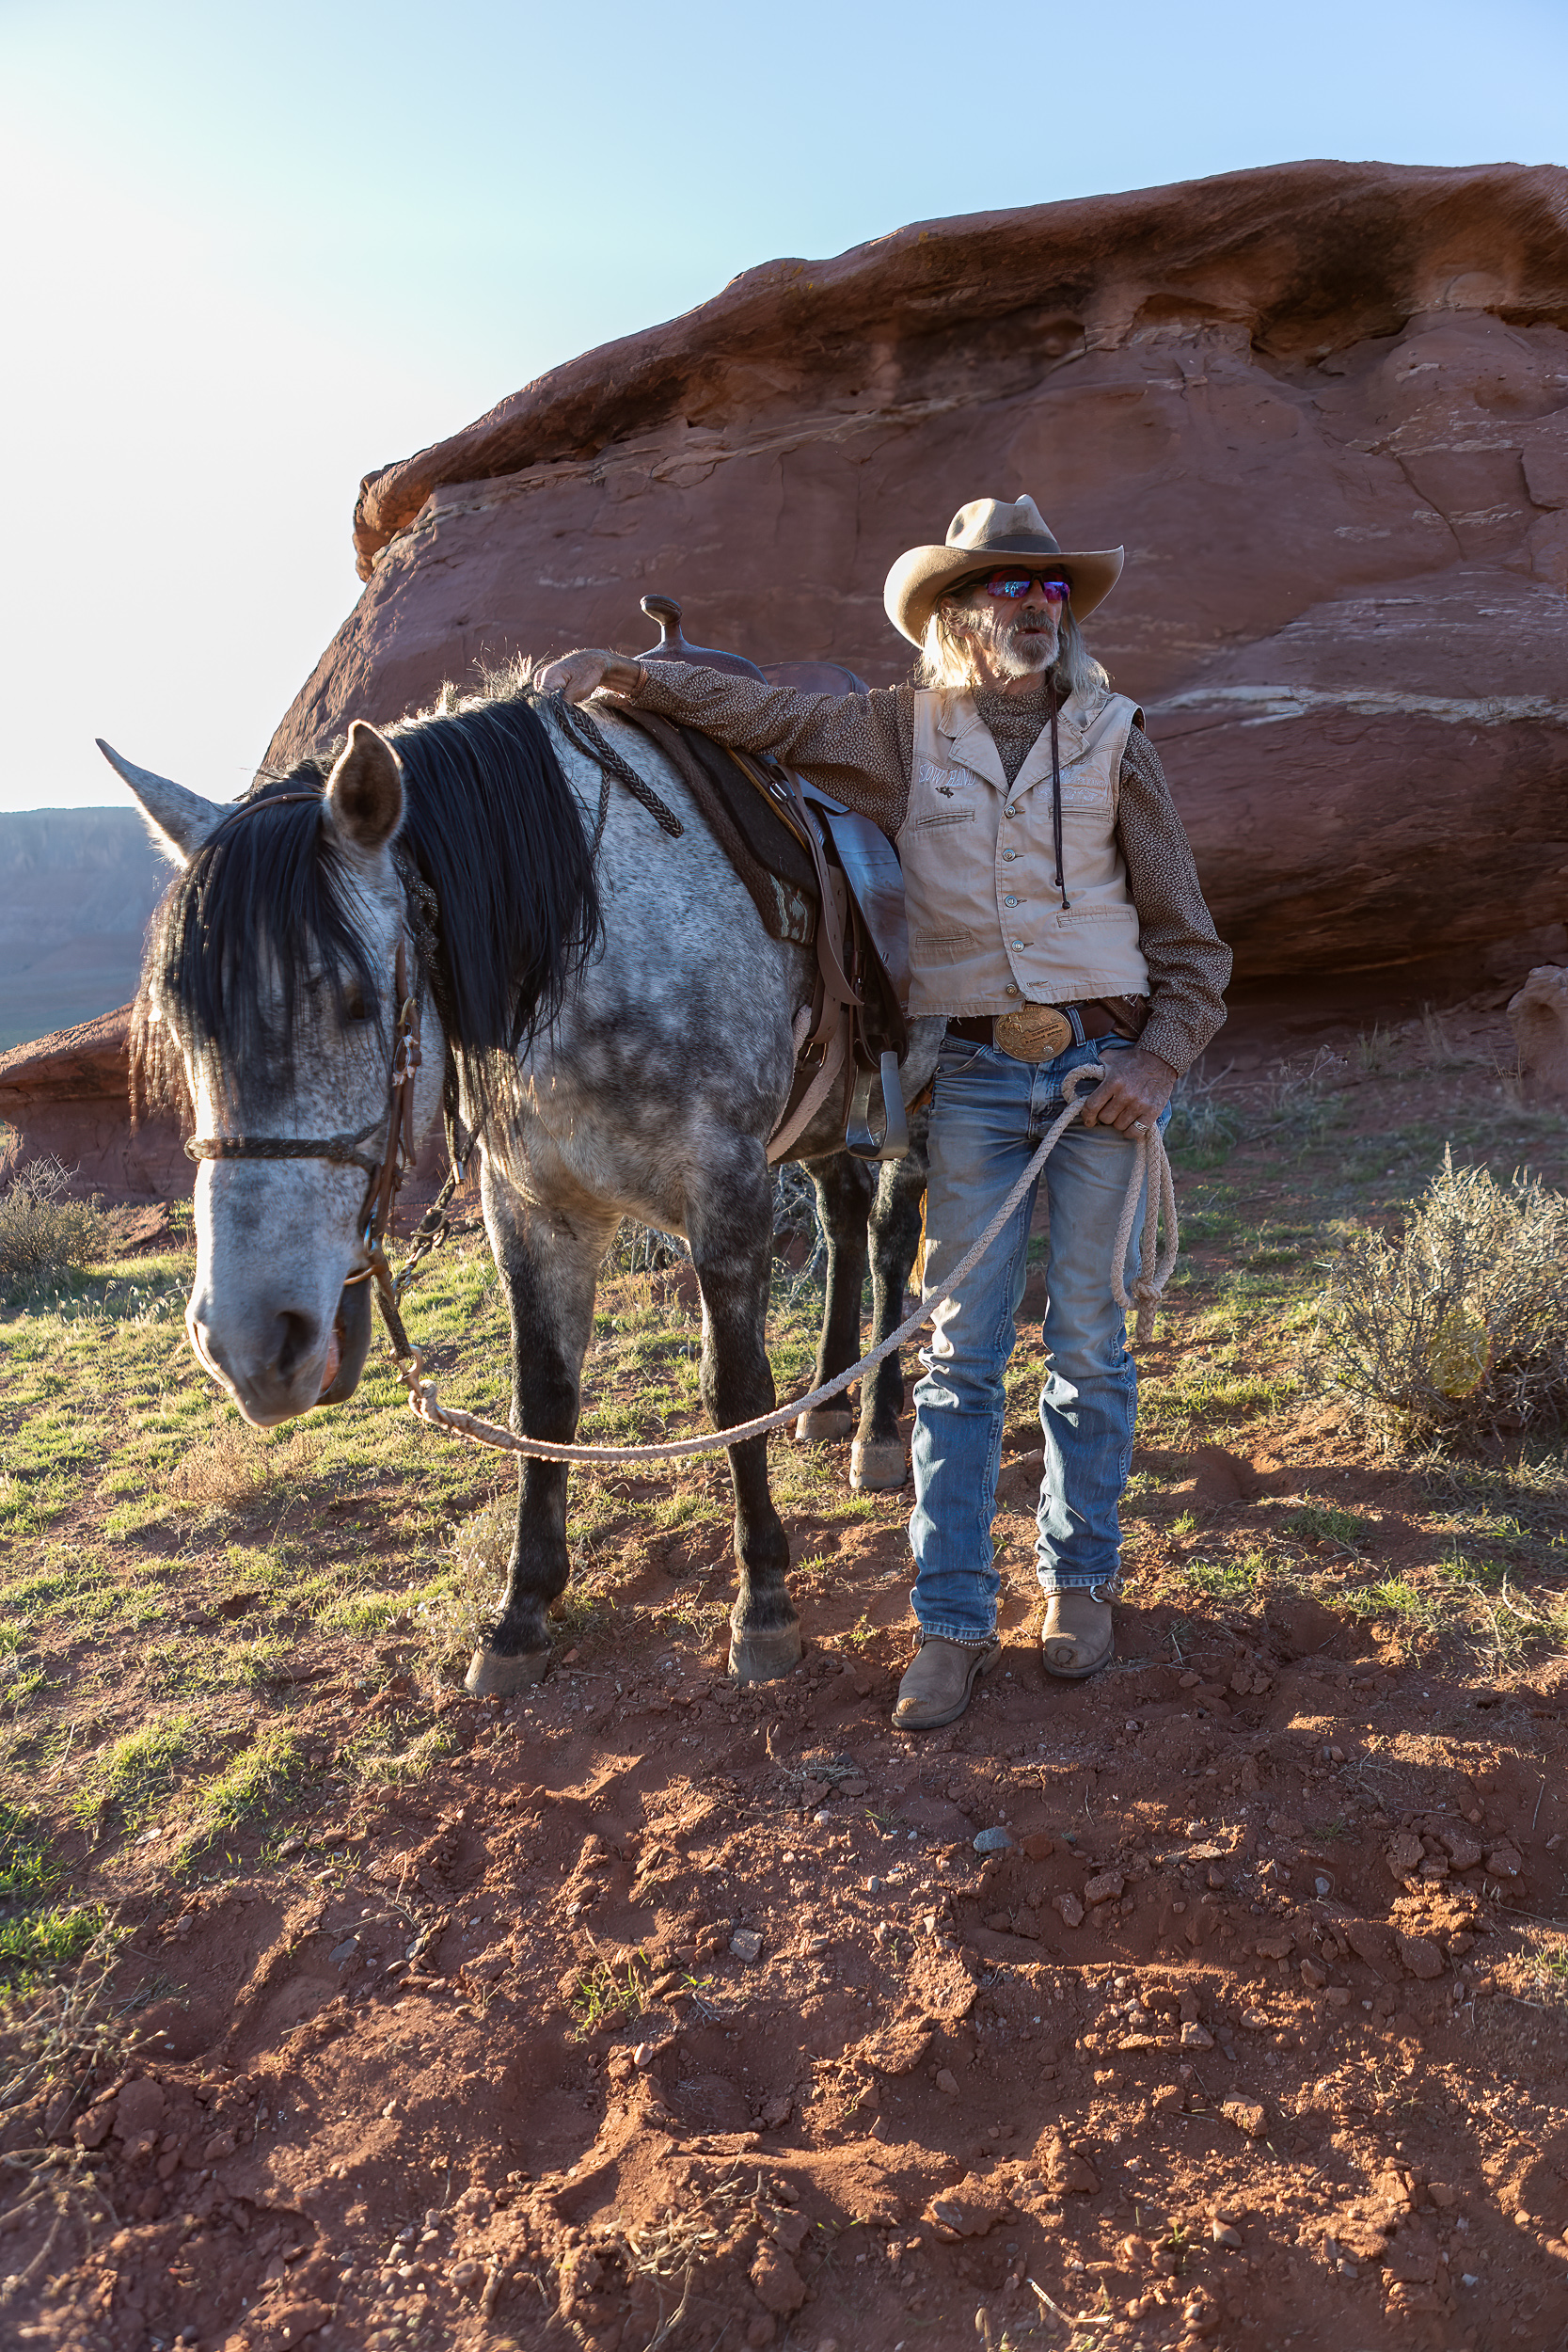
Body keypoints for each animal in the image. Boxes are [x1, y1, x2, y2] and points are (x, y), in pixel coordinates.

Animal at [103, 670, 941, 1693]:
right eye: (184, 1025)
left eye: (354, 1000)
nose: (248, 1344)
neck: (586, 944)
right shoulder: (534, 1209)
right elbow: (543, 1395)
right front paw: (520, 1611)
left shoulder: (725, 1188)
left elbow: (733, 1387)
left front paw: (764, 1603)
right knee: (845, 1213)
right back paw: (825, 1400)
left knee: (892, 1235)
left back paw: (877, 1426)